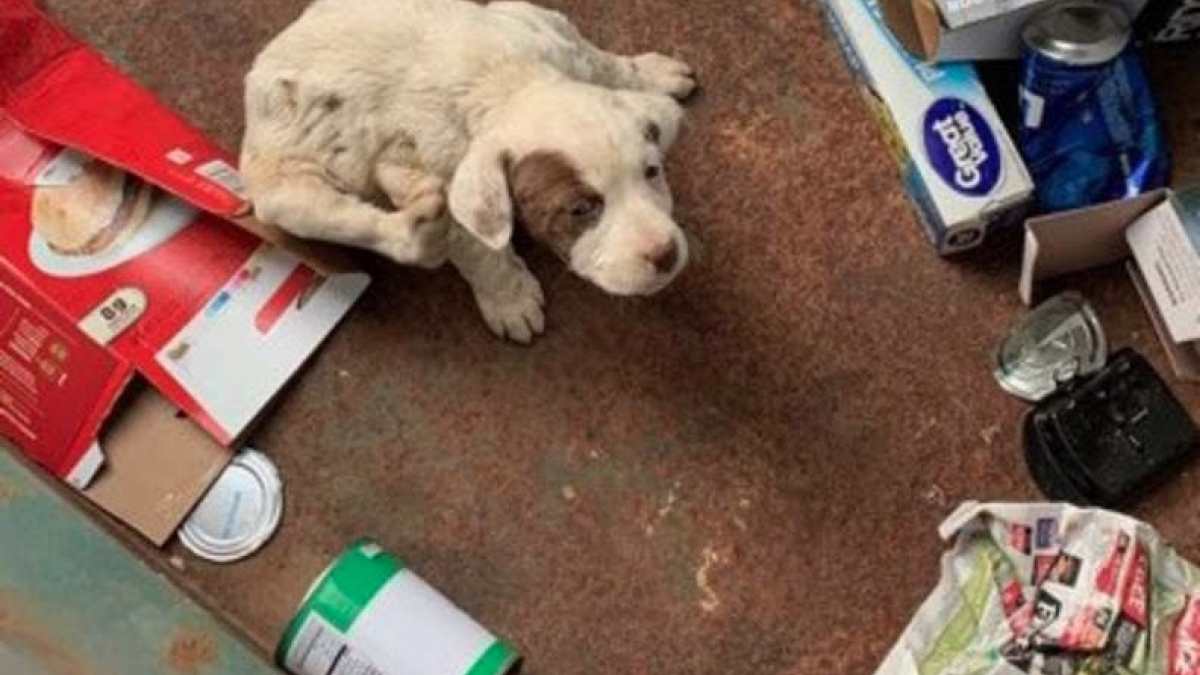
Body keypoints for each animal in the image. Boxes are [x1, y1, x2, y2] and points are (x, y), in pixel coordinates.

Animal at [241, 0, 696, 338]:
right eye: (580, 211)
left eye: (653, 172)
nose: (665, 253)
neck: (509, 85)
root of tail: (257, 76)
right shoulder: (450, 174)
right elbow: (479, 250)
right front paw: (511, 300)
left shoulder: (552, 31)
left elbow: (603, 63)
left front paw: (652, 74)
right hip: (288, 194)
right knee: (372, 225)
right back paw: (417, 213)